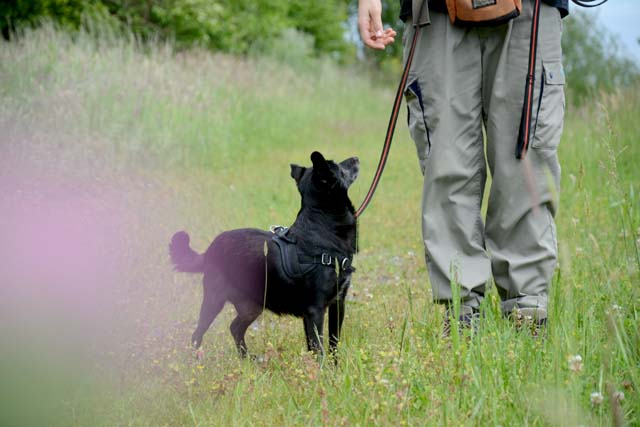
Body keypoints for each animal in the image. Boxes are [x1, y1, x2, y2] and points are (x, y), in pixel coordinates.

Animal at [170, 152, 358, 360]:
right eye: (339, 167)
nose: (355, 158)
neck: (322, 230)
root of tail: (210, 250)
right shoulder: (315, 311)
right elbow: (319, 349)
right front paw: (322, 368)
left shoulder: (337, 304)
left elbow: (332, 345)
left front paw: (333, 367)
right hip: (214, 300)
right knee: (197, 334)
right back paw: (198, 362)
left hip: (251, 306)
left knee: (235, 328)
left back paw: (246, 360)